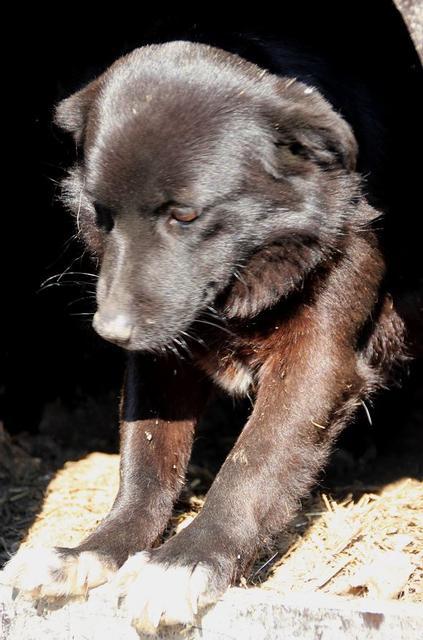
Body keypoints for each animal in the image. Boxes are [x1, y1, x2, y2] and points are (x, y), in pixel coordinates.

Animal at [4, 41, 420, 636]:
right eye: (101, 214)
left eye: (184, 214)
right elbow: (144, 465)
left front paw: (185, 562)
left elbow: (253, 464)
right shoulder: (161, 358)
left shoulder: (317, 358)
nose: (110, 331)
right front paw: (89, 551)